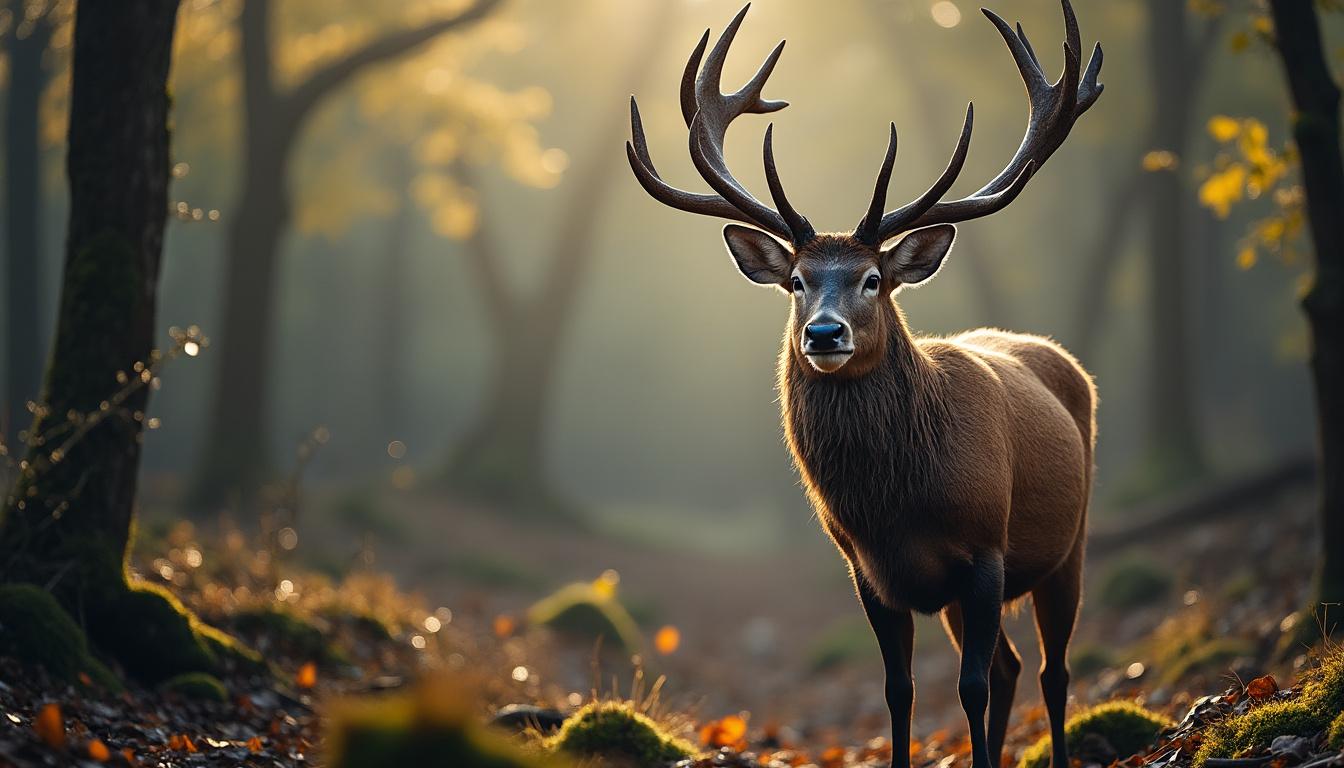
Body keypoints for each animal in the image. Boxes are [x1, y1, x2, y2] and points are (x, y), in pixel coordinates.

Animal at [626, 4, 1102, 768]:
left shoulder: (985, 552)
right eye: (796, 281)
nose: (824, 334)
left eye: (873, 279)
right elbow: (898, 691)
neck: (897, 507)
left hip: (1071, 542)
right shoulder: (869, 570)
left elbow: (966, 687)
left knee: (1052, 671)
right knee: (1012, 667)